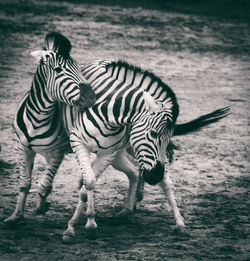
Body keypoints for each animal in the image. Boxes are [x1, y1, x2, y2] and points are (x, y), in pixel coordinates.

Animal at [61, 59, 230, 242]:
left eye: (169, 138)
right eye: (153, 134)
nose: (154, 176)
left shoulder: (111, 152)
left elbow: (88, 184)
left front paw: (83, 223)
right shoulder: (80, 142)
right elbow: (88, 182)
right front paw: (76, 224)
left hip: (125, 151)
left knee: (149, 176)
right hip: (122, 152)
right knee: (131, 172)